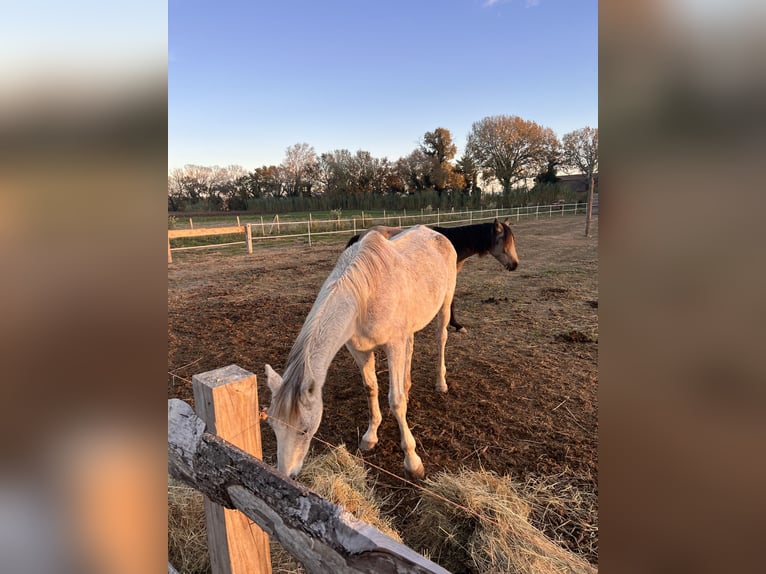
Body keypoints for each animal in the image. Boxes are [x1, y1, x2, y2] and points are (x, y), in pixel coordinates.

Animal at [265, 225, 457, 480]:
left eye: (304, 430)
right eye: (272, 425)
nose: (286, 475)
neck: (364, 298)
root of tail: (435, 234)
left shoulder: (393, 345)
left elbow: (395, 400)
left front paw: (413, 461)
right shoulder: (359, 350)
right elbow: (370, 388)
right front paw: (370, 437)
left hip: (445, 304)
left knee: (440, 338)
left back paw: (441, 383)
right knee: (410, 350)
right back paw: (408, 385)